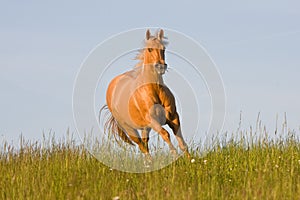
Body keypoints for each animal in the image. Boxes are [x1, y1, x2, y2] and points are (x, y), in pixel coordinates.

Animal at [100, 28, 190, 162]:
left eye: (163, 48)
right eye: (150, 49)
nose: (161, 66)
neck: (155, 89)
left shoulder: (174, 118)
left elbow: (182, 142)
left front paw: (191, 160)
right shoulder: (152, 120)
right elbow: (165, 134)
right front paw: (174, 155)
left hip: (144, 128)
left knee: (145, 143)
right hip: (130, 128)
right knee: (141, 146)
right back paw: (150, 163)